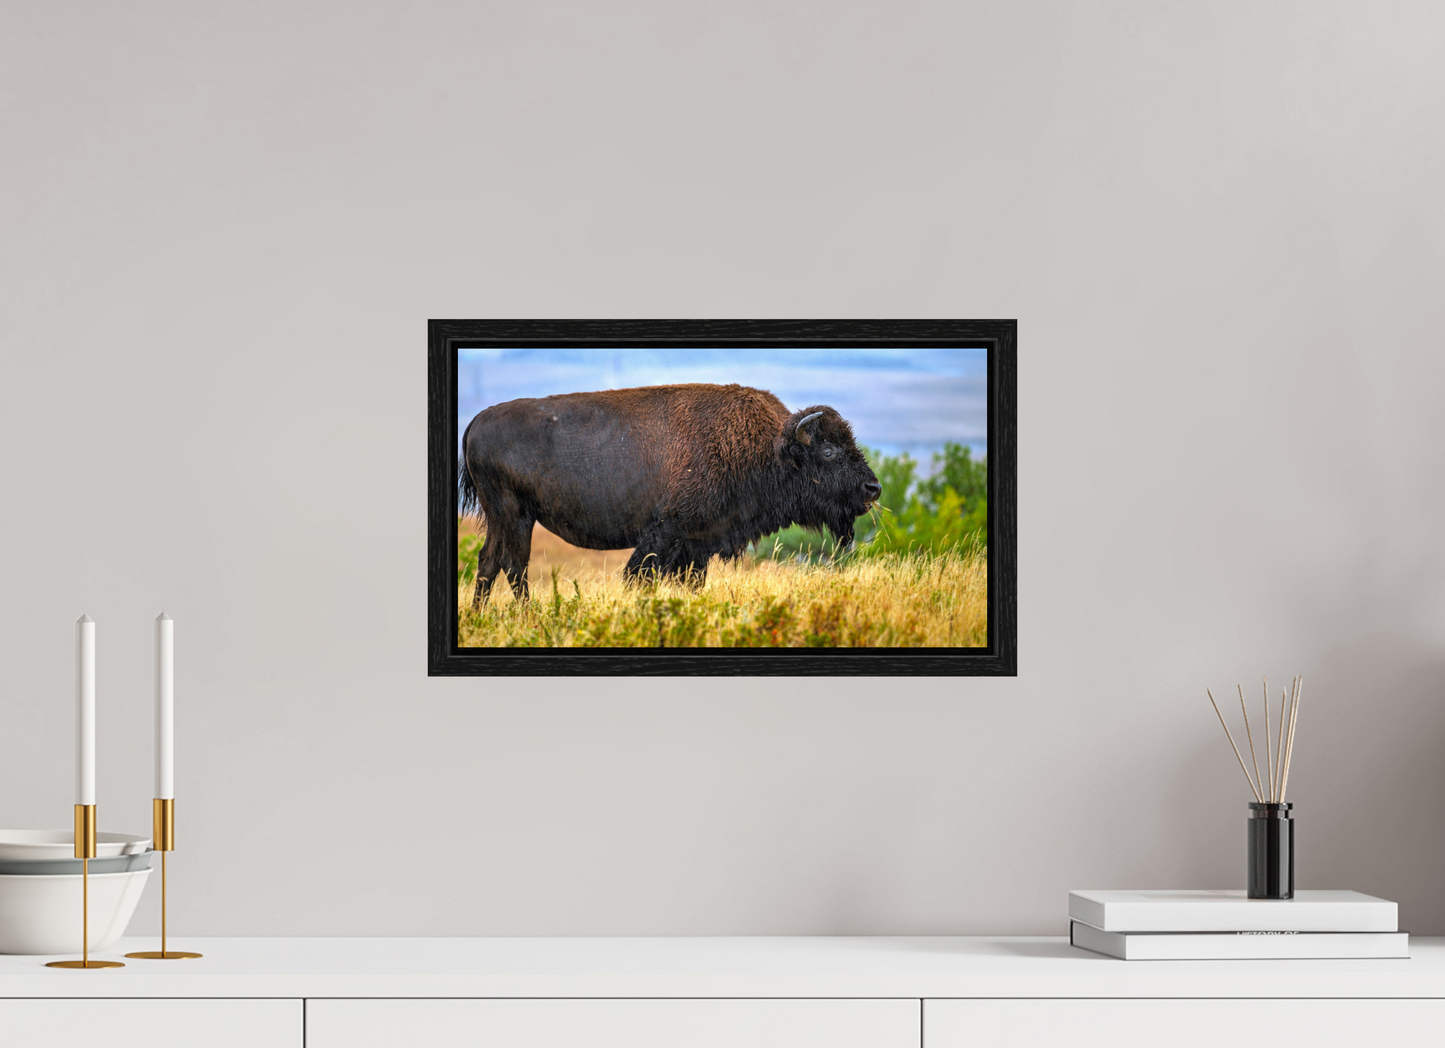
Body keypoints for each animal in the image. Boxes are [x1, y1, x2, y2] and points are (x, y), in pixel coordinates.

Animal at [458, 382, 882, 605]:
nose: (873, 488)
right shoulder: (666, 533)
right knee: (514, 565)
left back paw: (482, 616)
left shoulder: (696, 546)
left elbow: (690, 582)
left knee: (488, 562)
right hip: (516, 515)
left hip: (501, 517)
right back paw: (529, 616)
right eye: (828, 452)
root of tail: (475, 422)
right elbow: (638, 575)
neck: (766, 448)